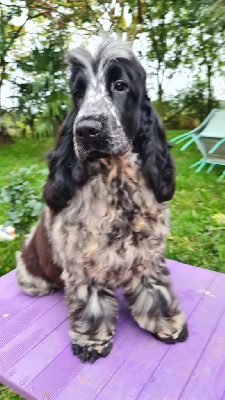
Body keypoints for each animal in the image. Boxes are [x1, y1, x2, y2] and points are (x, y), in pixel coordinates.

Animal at [16, 39, 188, 364]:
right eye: (78, 93)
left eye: (120, 85)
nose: (86, 130)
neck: (117, 181)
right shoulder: (84, 263)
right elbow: (91, 304)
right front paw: (92, 342)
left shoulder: (147, 253)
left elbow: (156, 289)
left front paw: (168, 325)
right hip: (31, 276)